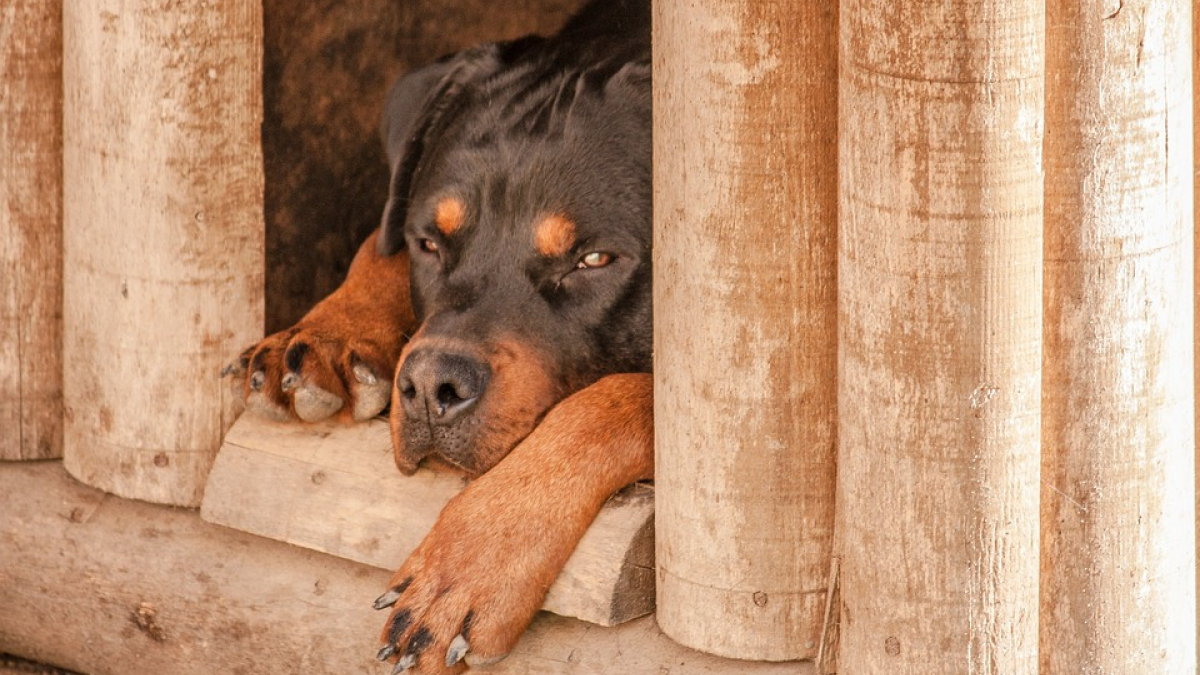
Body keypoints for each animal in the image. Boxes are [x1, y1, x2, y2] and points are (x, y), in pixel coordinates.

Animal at [229, 2, 652, 667]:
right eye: (429, 242)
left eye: (593, 260)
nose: (431, 387)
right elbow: (377, 245)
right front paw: (325, 332)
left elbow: (616, 399)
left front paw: (470, 562)